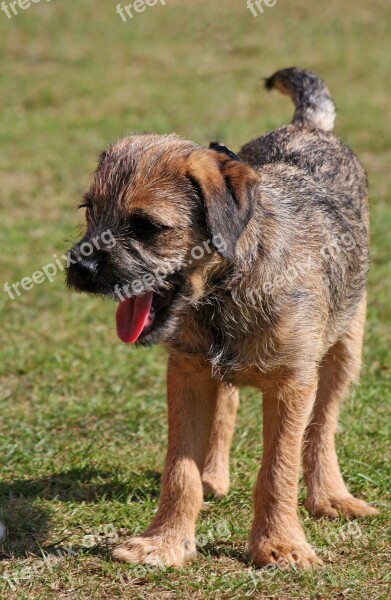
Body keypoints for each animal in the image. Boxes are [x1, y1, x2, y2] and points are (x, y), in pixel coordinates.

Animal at [66, 68, 380, 568]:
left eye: (147, 227)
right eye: (89, 210)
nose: (79, 267)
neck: (227, 290)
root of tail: (307, 127)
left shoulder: (293, 383)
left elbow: (278, 470)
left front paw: (279, 544)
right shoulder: (187, 373)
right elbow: (179, 470)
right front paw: (166, 540)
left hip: (346, 344)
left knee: (323, 426)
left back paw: (331, 496)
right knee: (227, 405)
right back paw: (213, 476)